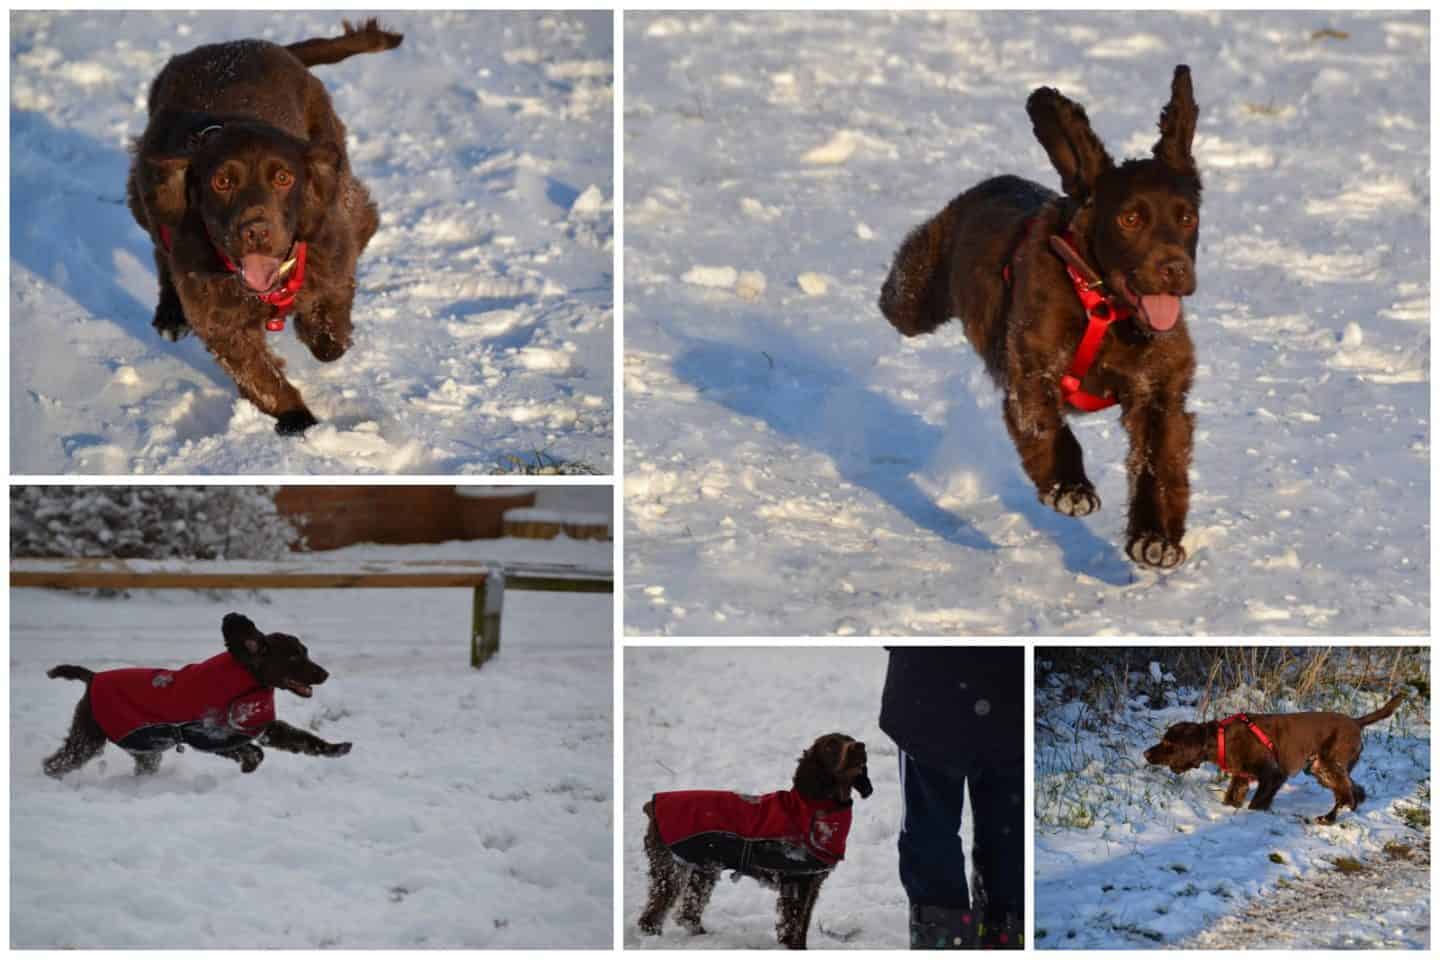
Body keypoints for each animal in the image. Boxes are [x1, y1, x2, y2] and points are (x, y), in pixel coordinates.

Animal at [127, 18, 403, 434]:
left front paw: (319, 333)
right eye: (222, 182)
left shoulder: (335, 246)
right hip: (145, 197)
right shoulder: (222, 323)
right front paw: (299, 421)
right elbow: (263, 378)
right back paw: (170, 316)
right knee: (162, 252)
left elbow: (331, 327)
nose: (256, 231)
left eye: (284, 178)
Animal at [639, 736, 864, 944]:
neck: (813, 809)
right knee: (655, 911)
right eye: (831, 745)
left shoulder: (812, 883)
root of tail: (652, 803)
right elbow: (791, 926)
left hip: (704, 869)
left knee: (687, 912)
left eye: (849, 739)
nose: (860, 746)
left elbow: (802, 927)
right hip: (672, 868)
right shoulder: (796, 881)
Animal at [875, 67, 1203, 569]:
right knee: (899, 293)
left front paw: (1156, 538)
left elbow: (1158, 462)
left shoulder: (1160, 391)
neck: (1105, 308)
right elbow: (1049, 427)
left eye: (1187, 218)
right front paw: (1070, 488)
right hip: (915, 295)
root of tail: (995, 181)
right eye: (1129, 219)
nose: (1175, 270)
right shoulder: (1031, 369)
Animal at [1146, 693, 1405, 823]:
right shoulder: (1241, 778)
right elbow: (1232, 798)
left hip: (1328, 765)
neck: (1219, 739)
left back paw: (1329, 817)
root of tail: (1356, 722)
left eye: (1168, 744)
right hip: (1321, 768)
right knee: (1354, 790)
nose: (1145, 753)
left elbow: (1257, 802)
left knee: (1345, 793)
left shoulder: (1272, 775)